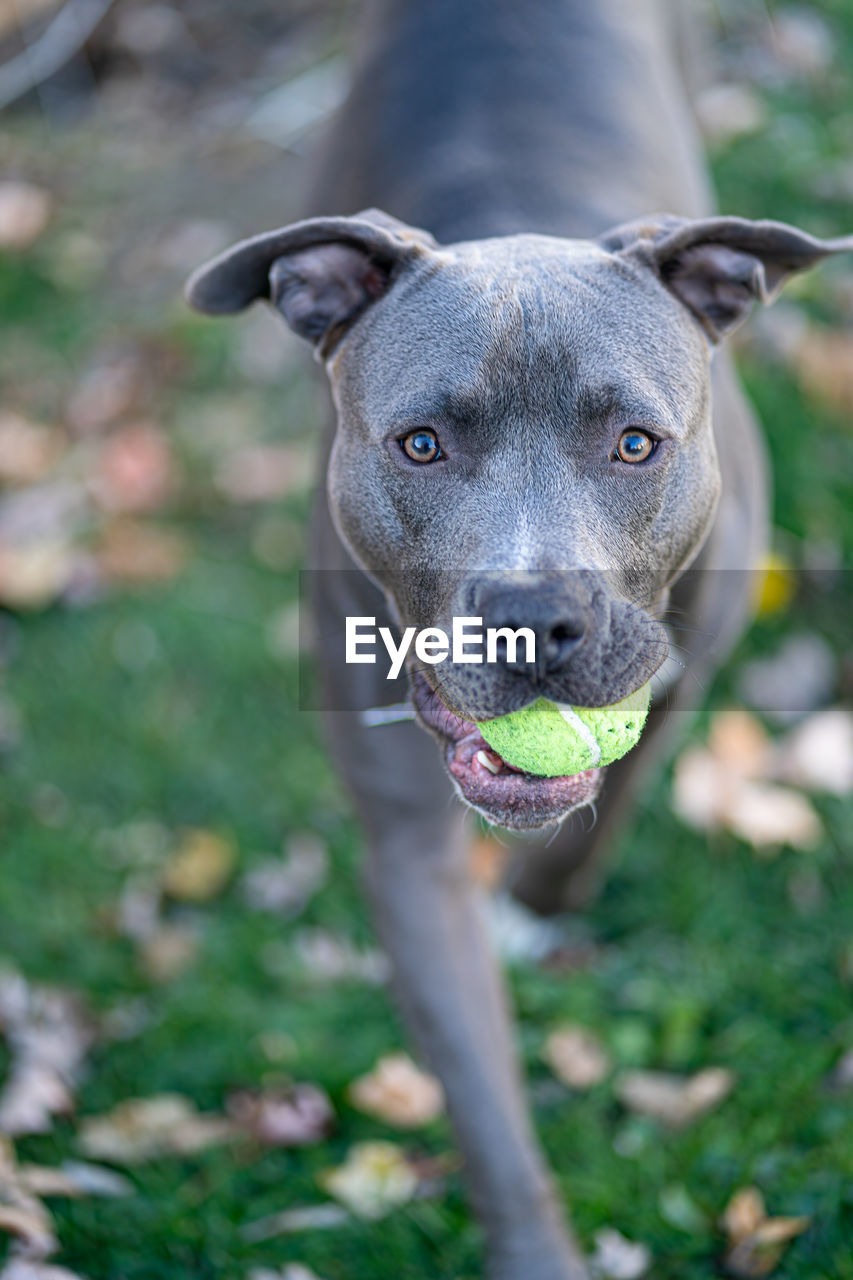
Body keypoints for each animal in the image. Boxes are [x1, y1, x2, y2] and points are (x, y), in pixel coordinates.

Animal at [183, 2, 845, 1280]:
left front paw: (539, 904)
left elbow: (617, 791)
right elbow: (483, 1104)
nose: (532, 617)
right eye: (420, 443)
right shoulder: (407, 846)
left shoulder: (689, 657)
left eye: (636, 443)